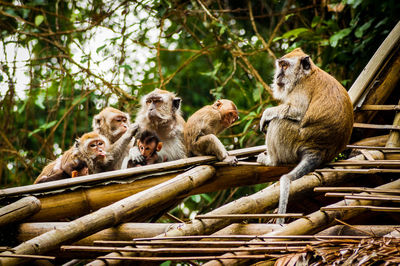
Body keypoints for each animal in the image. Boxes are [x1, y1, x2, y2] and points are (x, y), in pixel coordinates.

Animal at [256, 47, 354, 222]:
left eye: (285, 66)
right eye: (280, 65)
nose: (278, 76)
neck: (305, 75)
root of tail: (318, 150)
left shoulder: (301, 89)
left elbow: (297, 112)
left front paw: (266, 114)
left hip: (294, 140)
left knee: (279, 122)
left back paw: (271, 160)